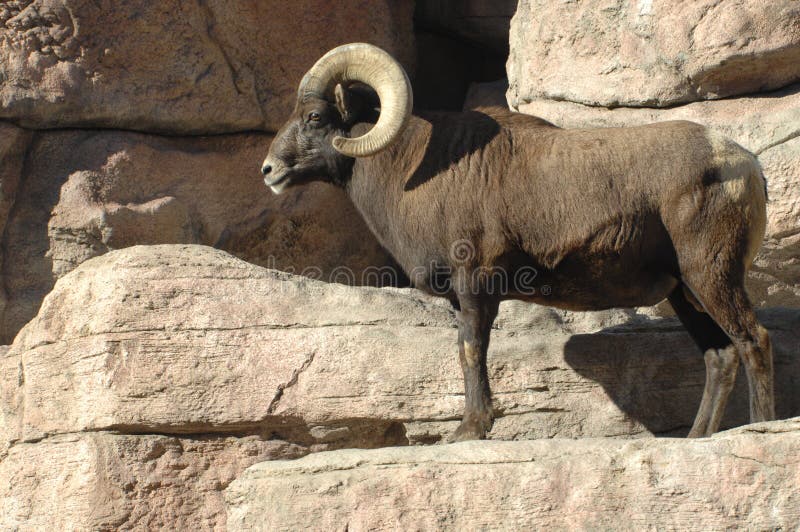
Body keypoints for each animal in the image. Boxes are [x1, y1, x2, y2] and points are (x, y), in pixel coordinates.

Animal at [262, 42, 776, 440]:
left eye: (315, 117)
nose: (269, 171)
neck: (415, 169)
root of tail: (745, 165)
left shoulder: (475, 286)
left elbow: (472, 350)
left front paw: (470, 429)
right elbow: (468, 351)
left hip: (710, 276)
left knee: (753, 340)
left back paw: (760, 427)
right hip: (686, 292)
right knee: (720, 356)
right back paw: (697, 437)